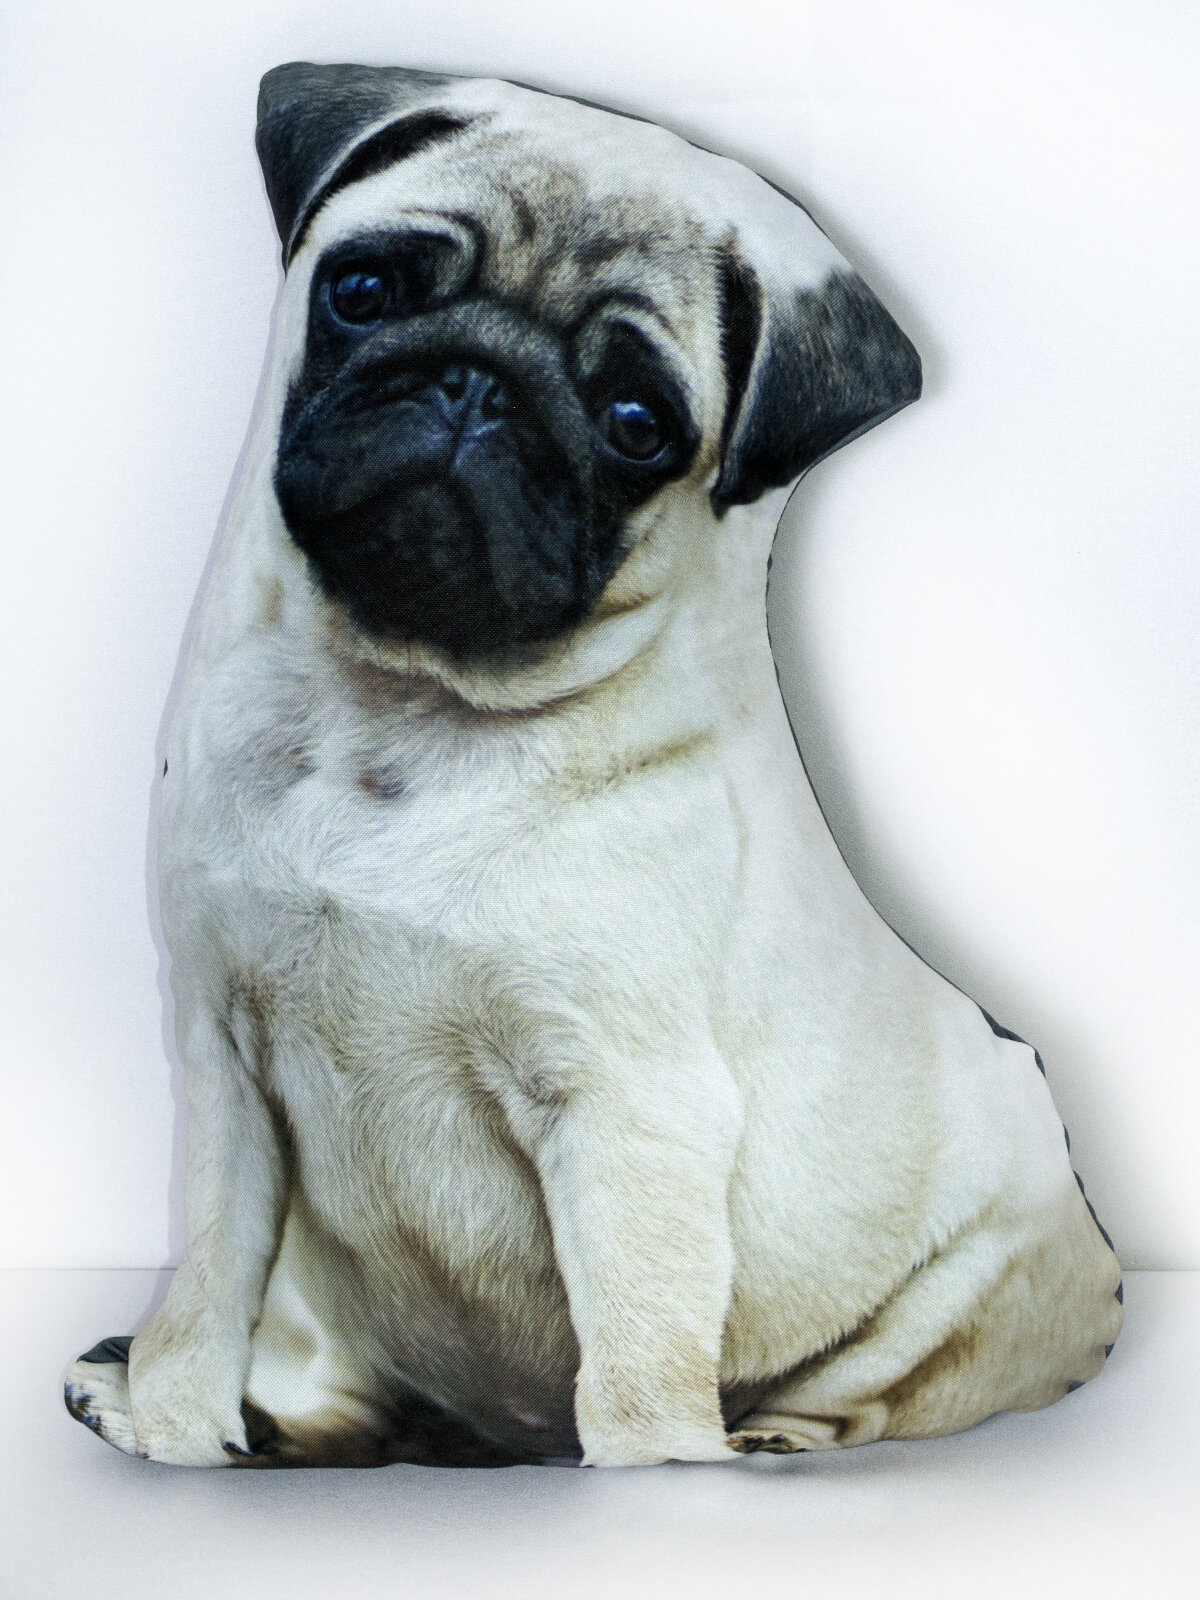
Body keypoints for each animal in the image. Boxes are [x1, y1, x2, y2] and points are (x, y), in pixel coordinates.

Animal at [65, 63, 1122, 1469]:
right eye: (363, 291)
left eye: (635, 423)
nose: (477, 384)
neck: (399, 708)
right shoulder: (226, 1062)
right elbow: (205, 1284)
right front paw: (179, 1426)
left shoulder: (629, 1114)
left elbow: (635, 1358)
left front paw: (653, 1474)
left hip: (980, 1278)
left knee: (863, 1389)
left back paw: (766, 1449)